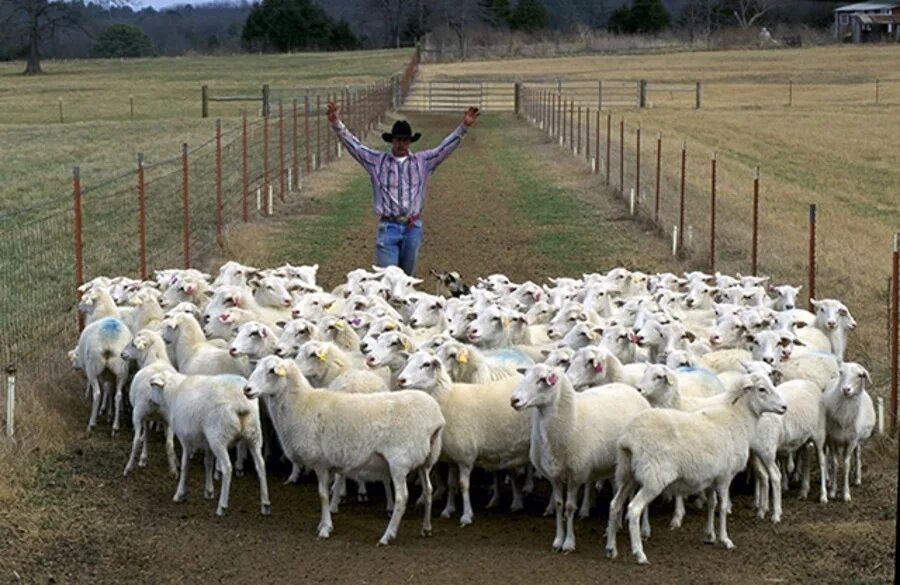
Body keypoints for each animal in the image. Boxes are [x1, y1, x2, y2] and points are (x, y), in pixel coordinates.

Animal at [246, 356, 442, 544]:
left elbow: (323, 494)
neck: (301, 404)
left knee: (402, 498)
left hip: (399, 462)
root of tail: (436, 418)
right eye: (256, 367)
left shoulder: (320, 462)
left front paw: (325, 528)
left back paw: (387, 536)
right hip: (426, 461)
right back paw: (426, 528)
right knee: (428, 490)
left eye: (272, 370)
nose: (247, 389)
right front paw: (324, 523)